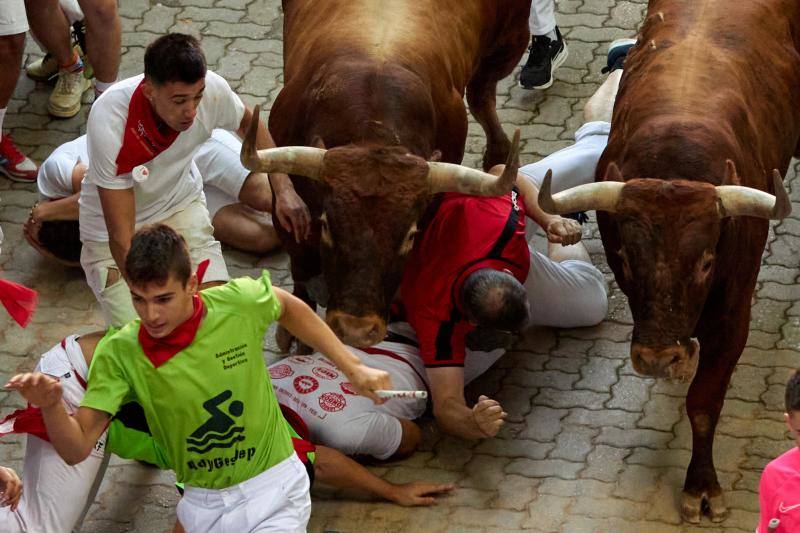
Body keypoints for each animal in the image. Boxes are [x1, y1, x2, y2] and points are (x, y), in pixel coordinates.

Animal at [241, 0, 536, 348]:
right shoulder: (286, 201)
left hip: (510, 41)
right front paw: (293, 329)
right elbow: (301, 263)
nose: (356, 329)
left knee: (482, 92)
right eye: (326, 225)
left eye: (409, 235)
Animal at [536, 0, 800, 524]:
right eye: (624, 257)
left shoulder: (734, 312)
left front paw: (702, 487)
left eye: (706, 262)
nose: (659, 358)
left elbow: (704, 402)